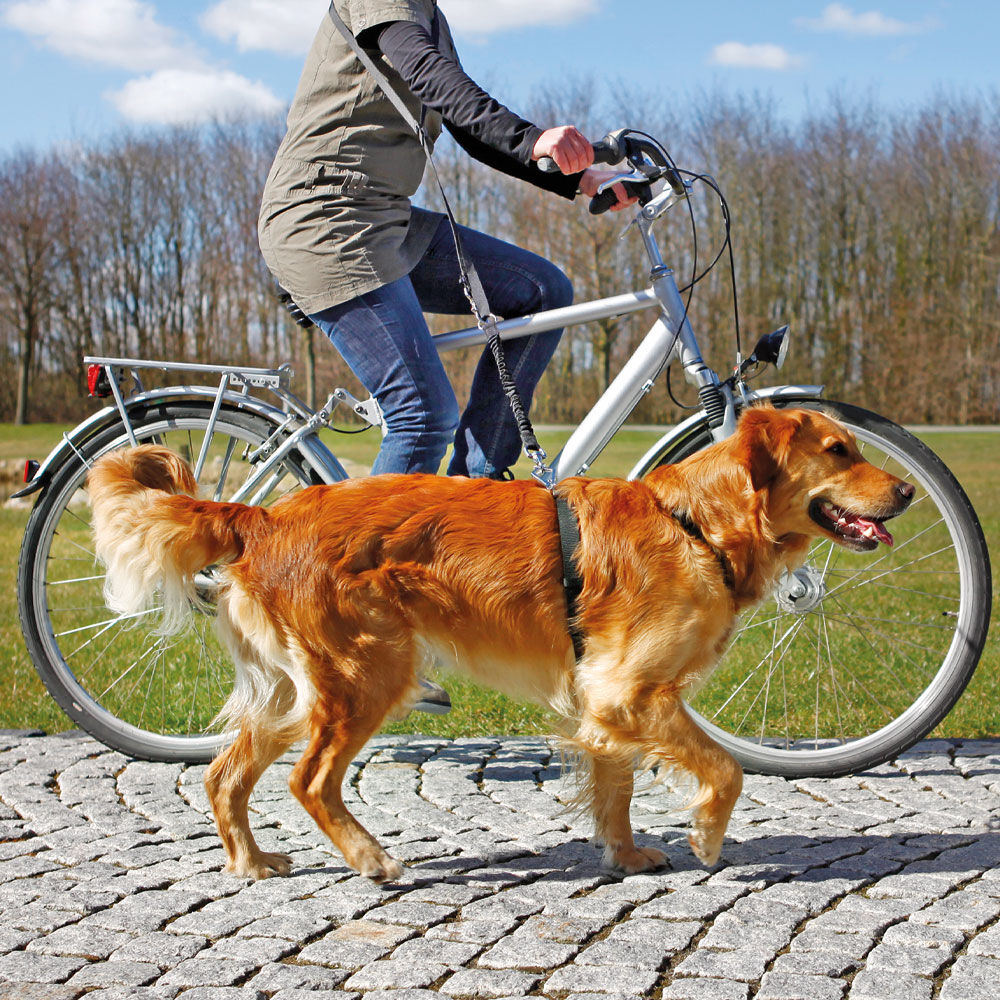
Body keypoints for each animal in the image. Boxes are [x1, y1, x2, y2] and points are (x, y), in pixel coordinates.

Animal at [88, 406, 916, 884]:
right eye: (839, 451)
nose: (908, 491)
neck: (696, 524)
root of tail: (263, 514)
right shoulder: (633, 691)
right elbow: (727, 769)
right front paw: (709, 838)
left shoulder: (606, 703)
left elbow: (616, 787)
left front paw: (626, 854)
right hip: (365, 677)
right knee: (310, 783)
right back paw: (371, 859)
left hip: (294, 692)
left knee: (224, 774)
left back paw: (251, 862)